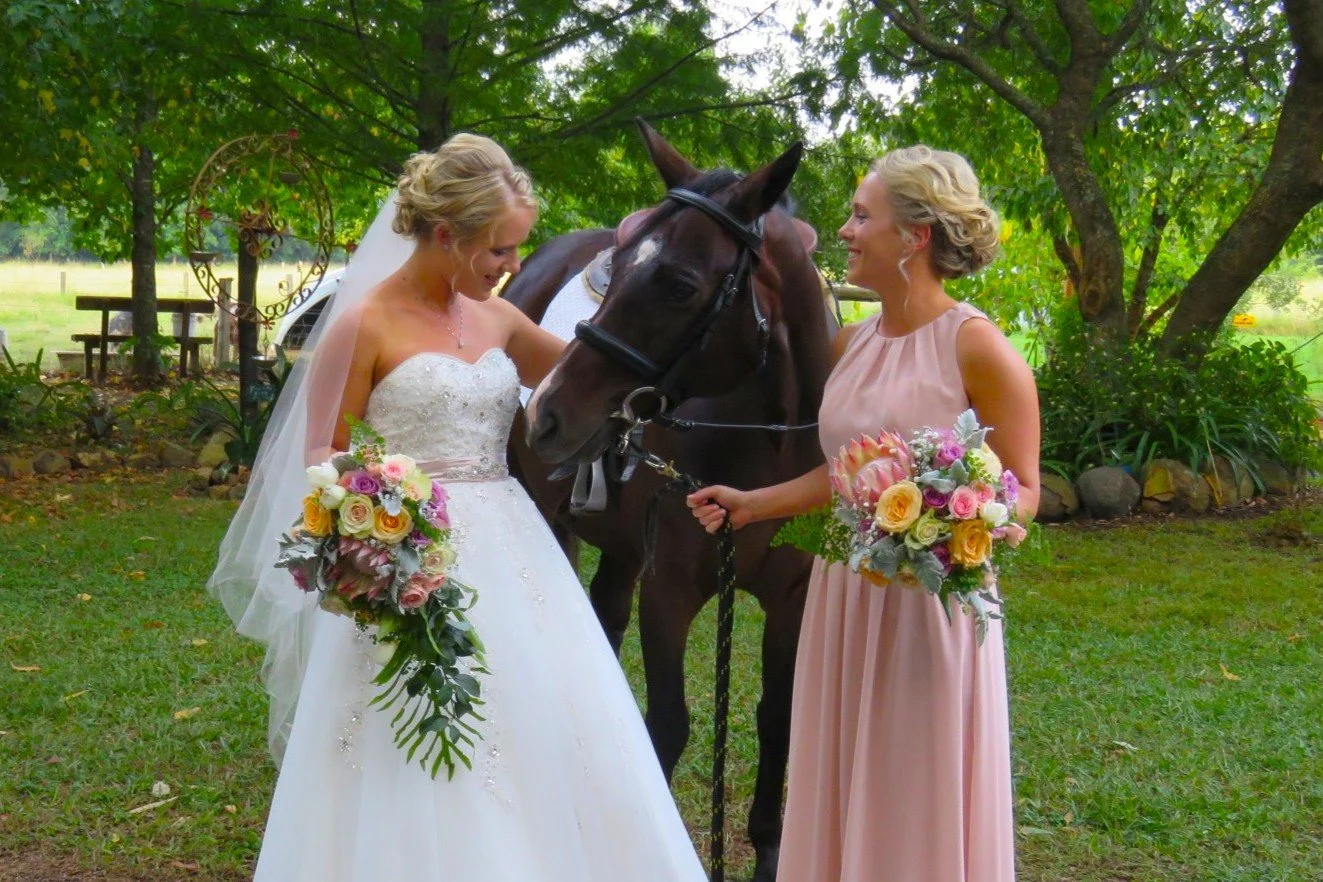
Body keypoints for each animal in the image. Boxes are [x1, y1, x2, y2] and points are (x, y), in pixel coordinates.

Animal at [509, 122, 835, 882]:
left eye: (680, 285)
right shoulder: (670, 590)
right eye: (619, 265)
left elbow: (776, 717)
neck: (767, 448)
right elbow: (671, 724)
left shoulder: (792, 596)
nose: (548, 414)